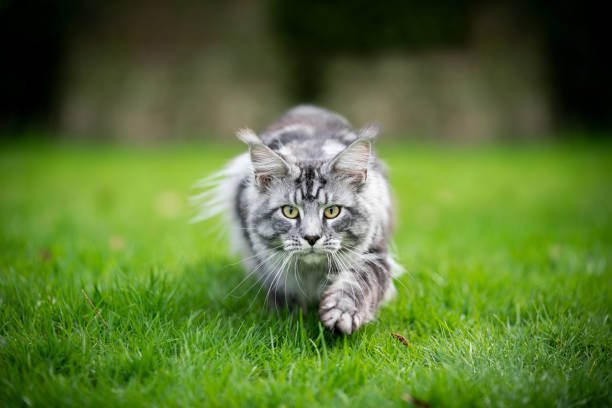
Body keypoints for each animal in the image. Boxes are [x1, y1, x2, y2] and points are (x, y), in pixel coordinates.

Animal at [192, 105, 402, 334]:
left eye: (332, 211)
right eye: (290, 212)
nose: (311, 238)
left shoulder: (376, 255)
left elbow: (358, 283)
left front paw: (341, 313)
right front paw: (288, 317)